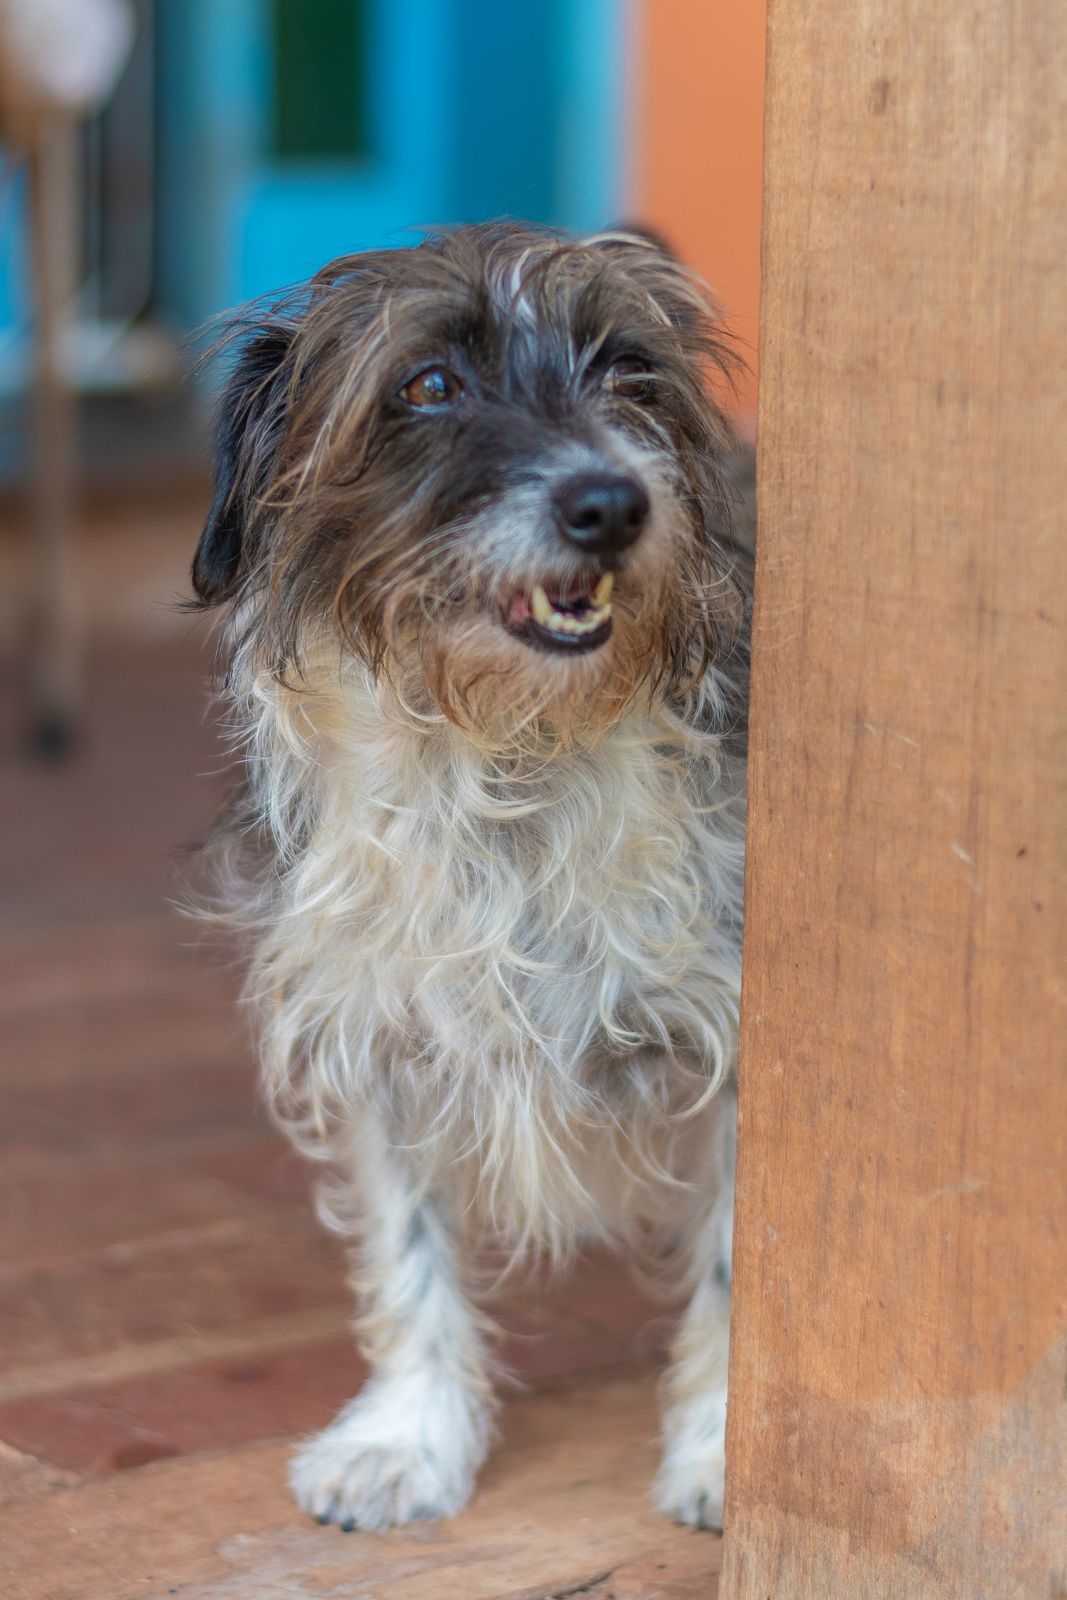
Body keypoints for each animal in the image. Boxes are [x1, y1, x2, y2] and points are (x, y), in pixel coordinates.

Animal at [189, 225, 751, 1536]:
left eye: (628, 369)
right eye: (429, 384)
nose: (610, 502)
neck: (512, 754)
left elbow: (736, 1264)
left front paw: (720, 1450)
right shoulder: (380, 1018)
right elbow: (411, 1247)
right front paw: (409, 1435)